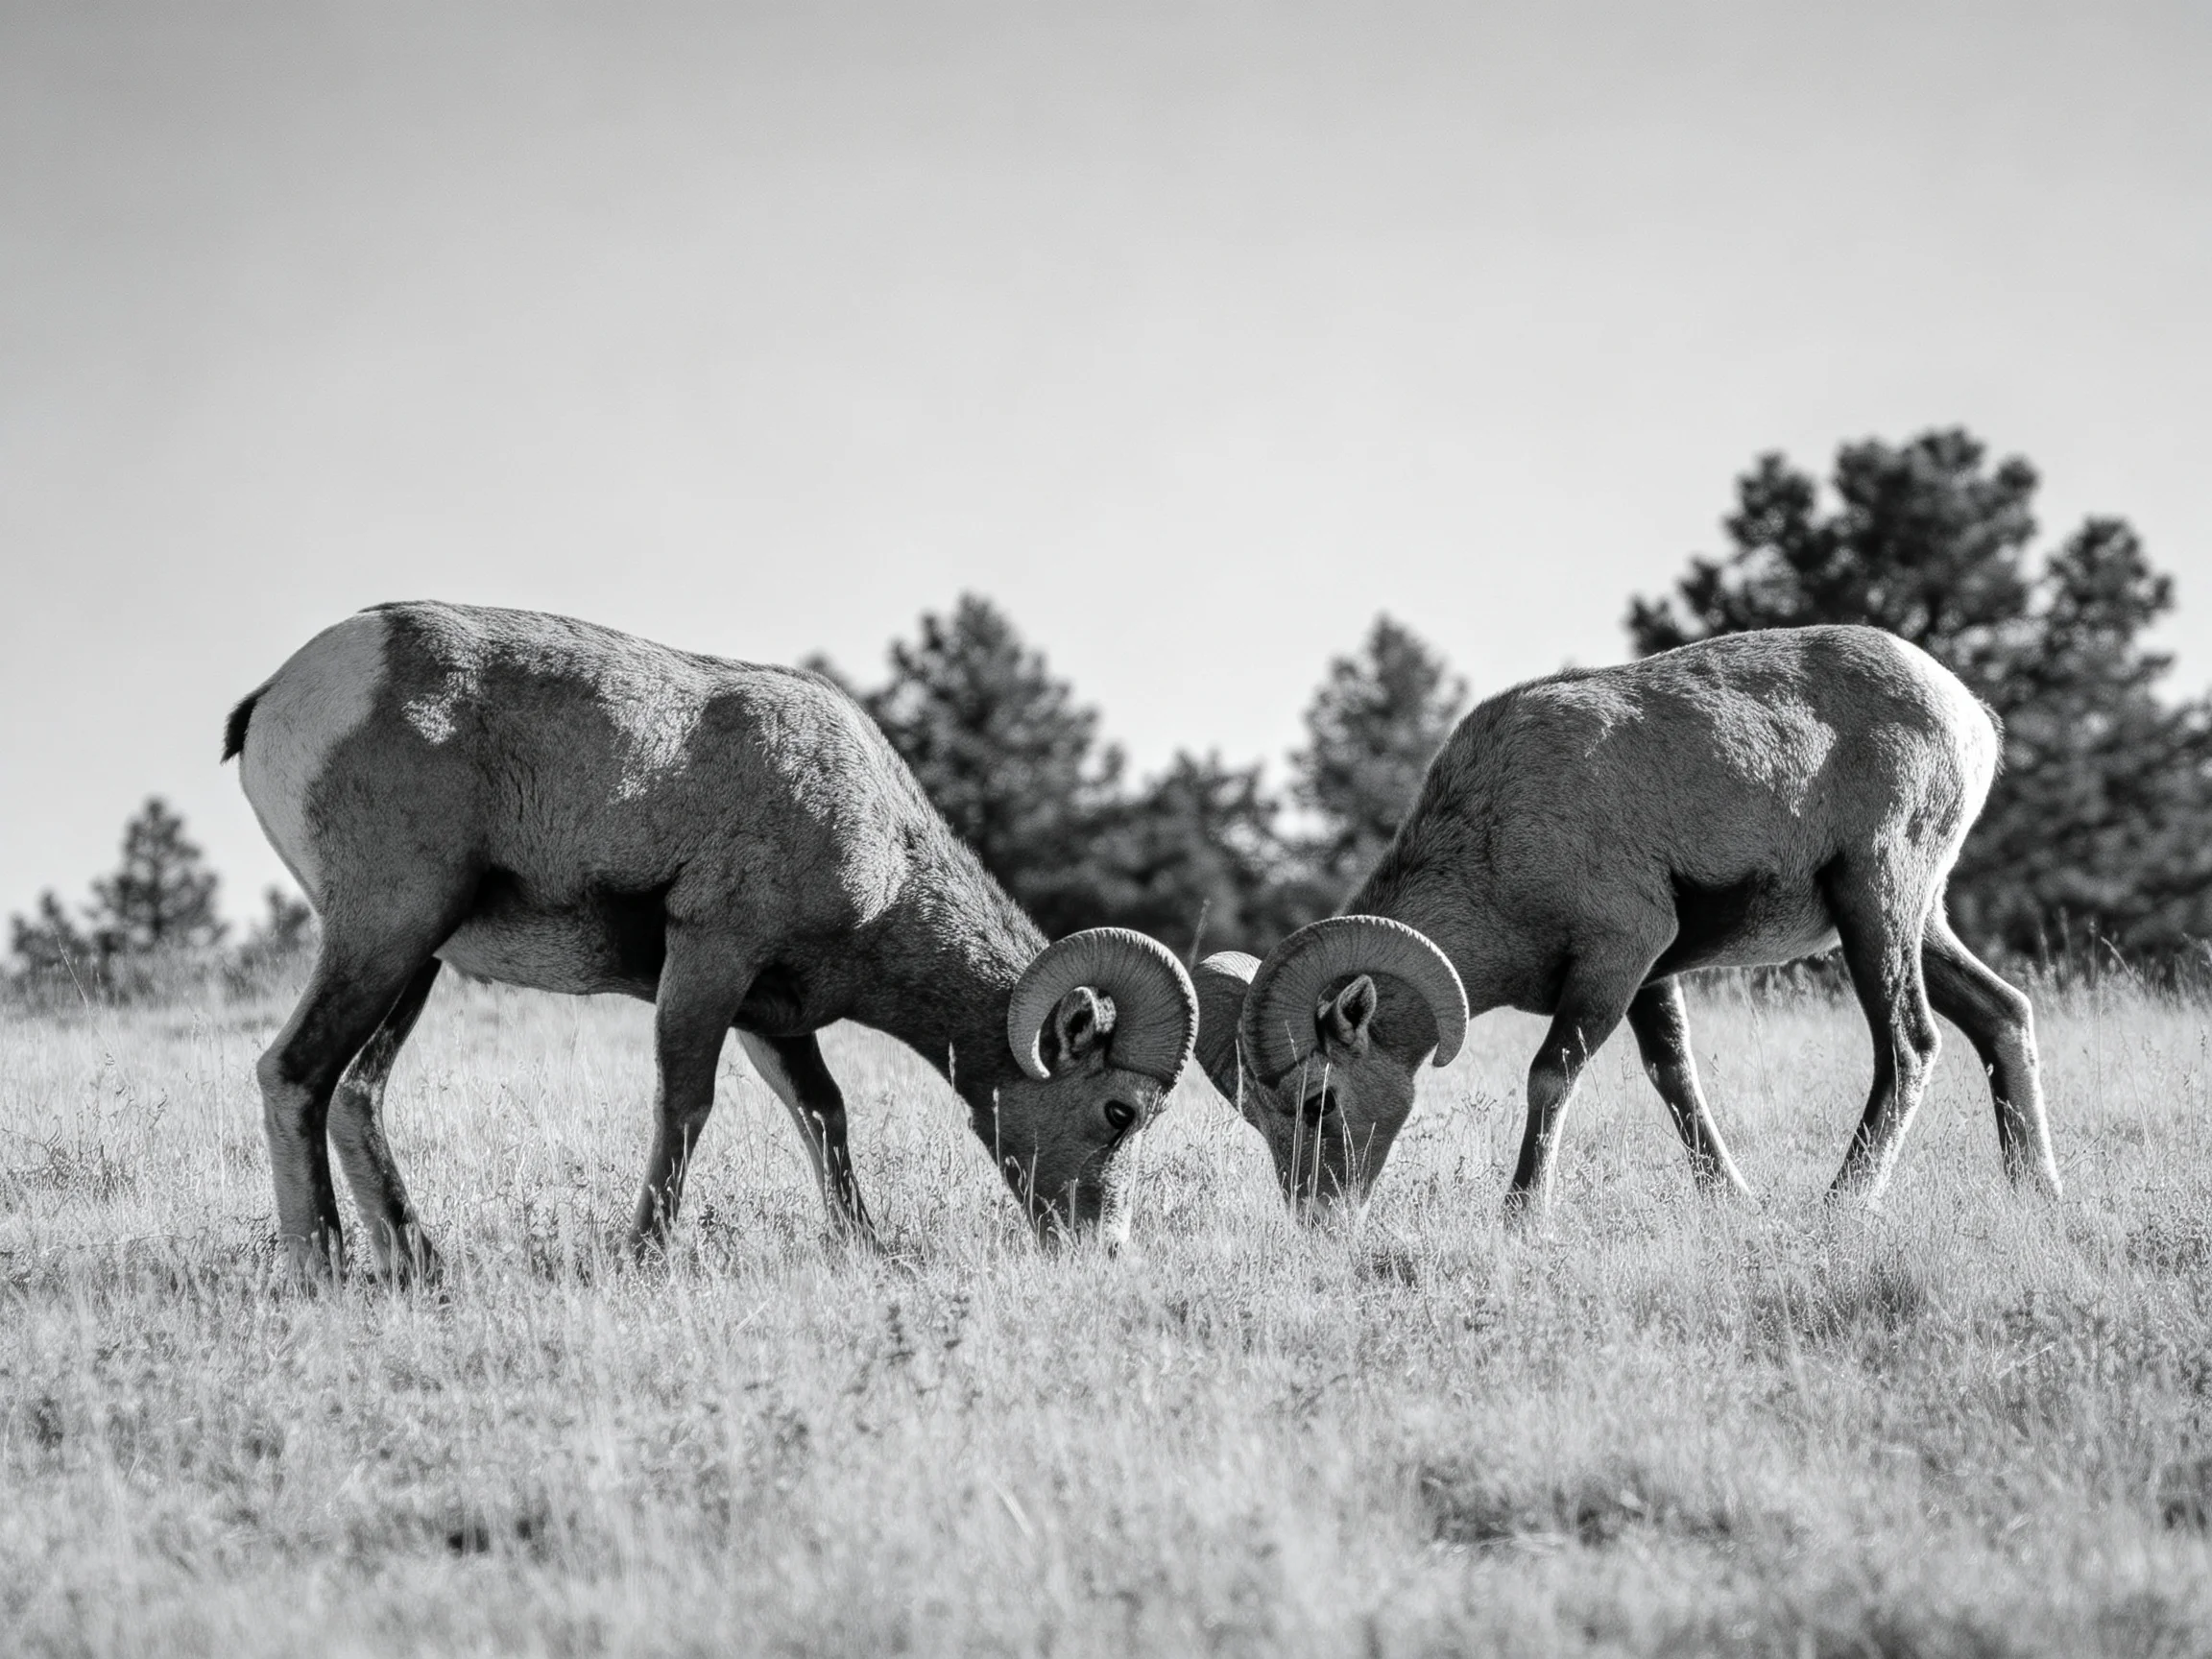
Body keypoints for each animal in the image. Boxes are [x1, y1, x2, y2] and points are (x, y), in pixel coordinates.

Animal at [223, 601, 1197, 1280]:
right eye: (1119, 1112)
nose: (1105, 1250)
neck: (881, 852)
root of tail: (277, 697)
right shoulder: (709, 959)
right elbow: (685, 1108)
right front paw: (643, 1257)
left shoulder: (773, 1015)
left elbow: (824, 1116)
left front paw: (865, 1247)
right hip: (387, 927)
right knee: (296, 1073)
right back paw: (324, 1270)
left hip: (416, 959)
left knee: (356, 1092)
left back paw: (420, 1267)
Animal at [1195, 625, 2060, 1218]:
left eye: (1319, 1102)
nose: (1319, 1218)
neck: (1496, 838)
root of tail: (1970, 715)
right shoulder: (1652, 978)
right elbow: (1673, 1078)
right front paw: (1734, 1204)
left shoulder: (1618, 956)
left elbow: (1552, 1076)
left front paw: (1521, 1217)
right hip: (1916, 920)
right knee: (2001, 1014)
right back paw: (2037, 1193)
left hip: (1876, 903)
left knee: (1909, 1044)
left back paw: (1843, 1203)